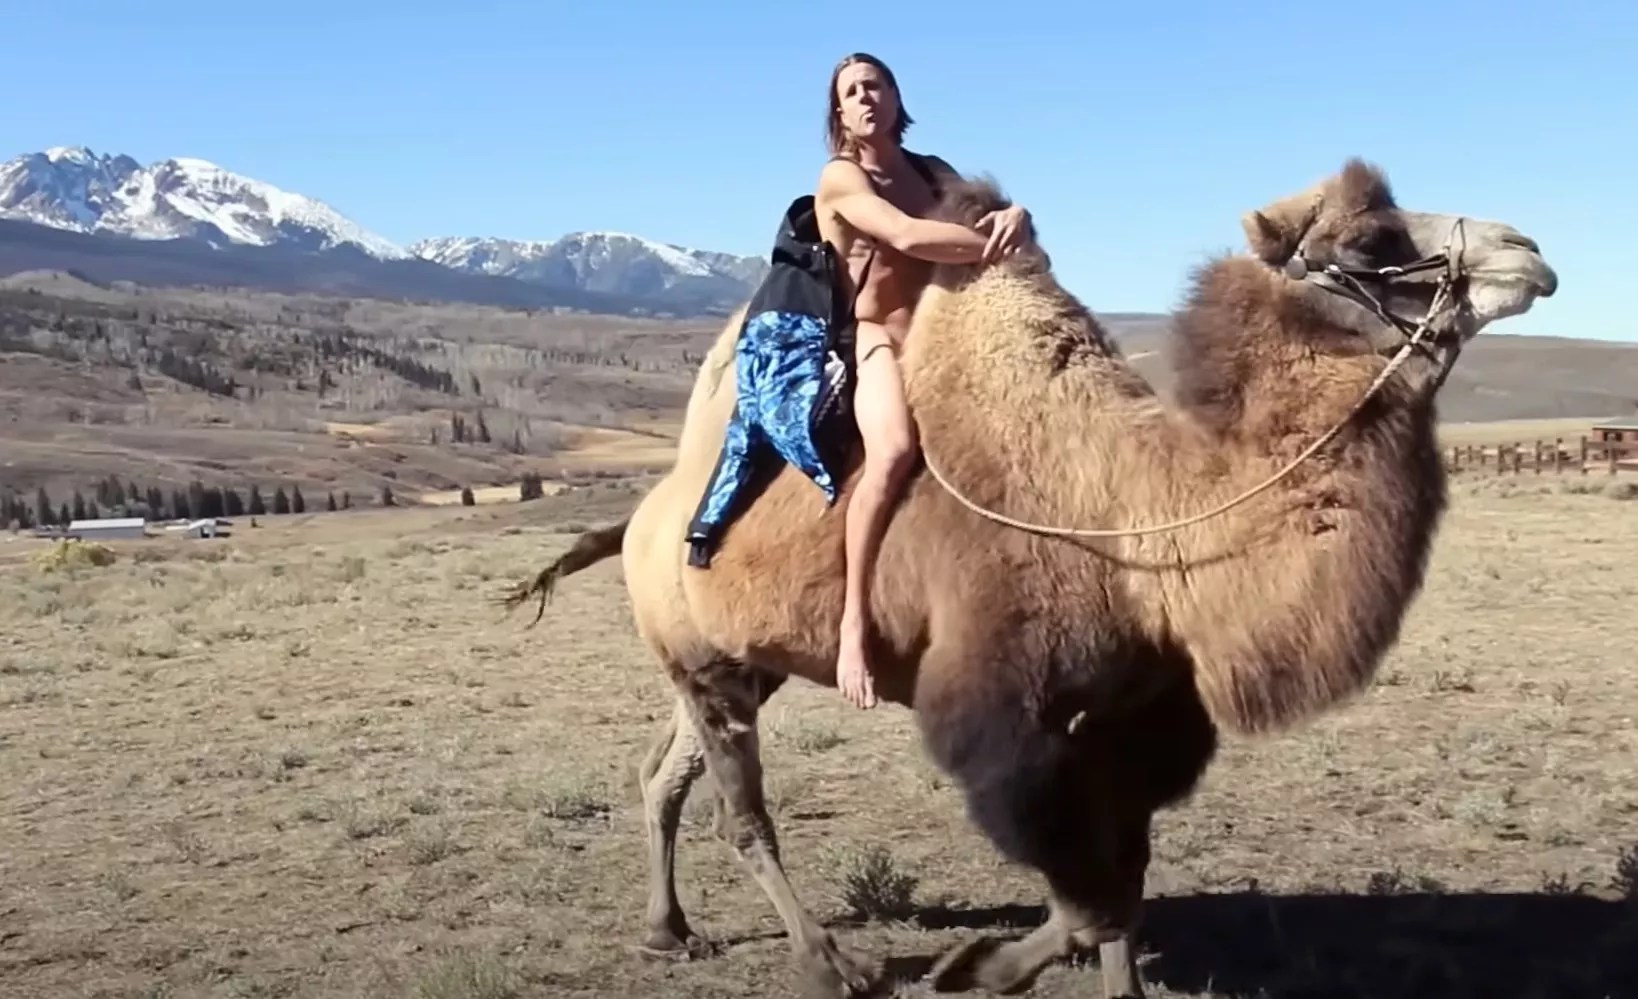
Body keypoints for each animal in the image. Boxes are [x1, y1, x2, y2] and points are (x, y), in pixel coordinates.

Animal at [502, 157, 1557, 998]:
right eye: (1373, 237)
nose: (1530, 248)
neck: (1138, 525)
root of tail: (644, 518)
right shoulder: (1002, 712)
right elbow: (1089, 893)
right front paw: (972, 966)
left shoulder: (1138, 714)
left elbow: (1121, 881)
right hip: (706, 662)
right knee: (742, 813)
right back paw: (829, 962)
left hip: (735, 658)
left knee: (662, 774)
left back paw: (668, 930)